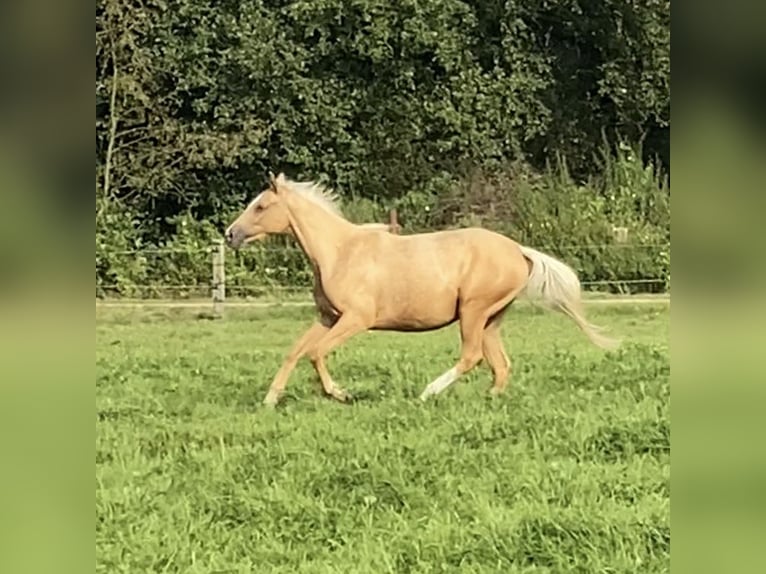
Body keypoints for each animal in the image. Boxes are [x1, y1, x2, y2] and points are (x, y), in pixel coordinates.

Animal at [225, 173, 620, 408]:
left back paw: (428, 392)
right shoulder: (327, 317)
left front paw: (340, 393)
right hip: (492, 318)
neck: (339, 251)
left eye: (261, 206)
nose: (230, 234)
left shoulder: (356, 319)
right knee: (501, 365)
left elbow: (315, 353)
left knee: (472, 357)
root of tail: (518, 251)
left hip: (473, 311)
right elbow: (295, 351)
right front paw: (270, 399)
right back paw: (488, 399)